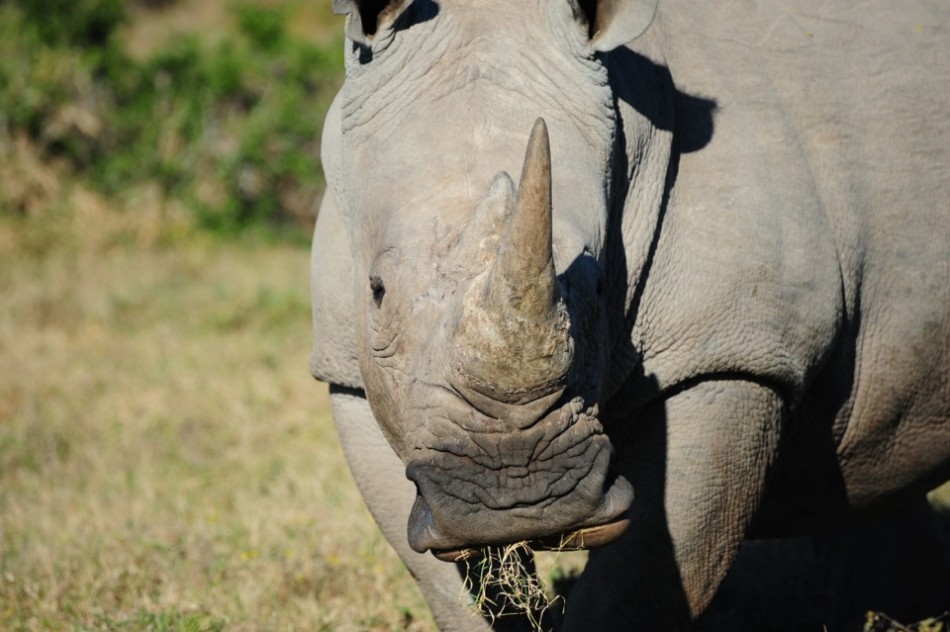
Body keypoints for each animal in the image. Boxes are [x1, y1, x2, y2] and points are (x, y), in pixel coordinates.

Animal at [310, 0, 950, 628]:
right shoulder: (348, 371)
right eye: (377, 290)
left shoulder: (730, 352)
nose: (518, 497)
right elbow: (447, 588)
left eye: (599, 287)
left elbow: (641, 585)